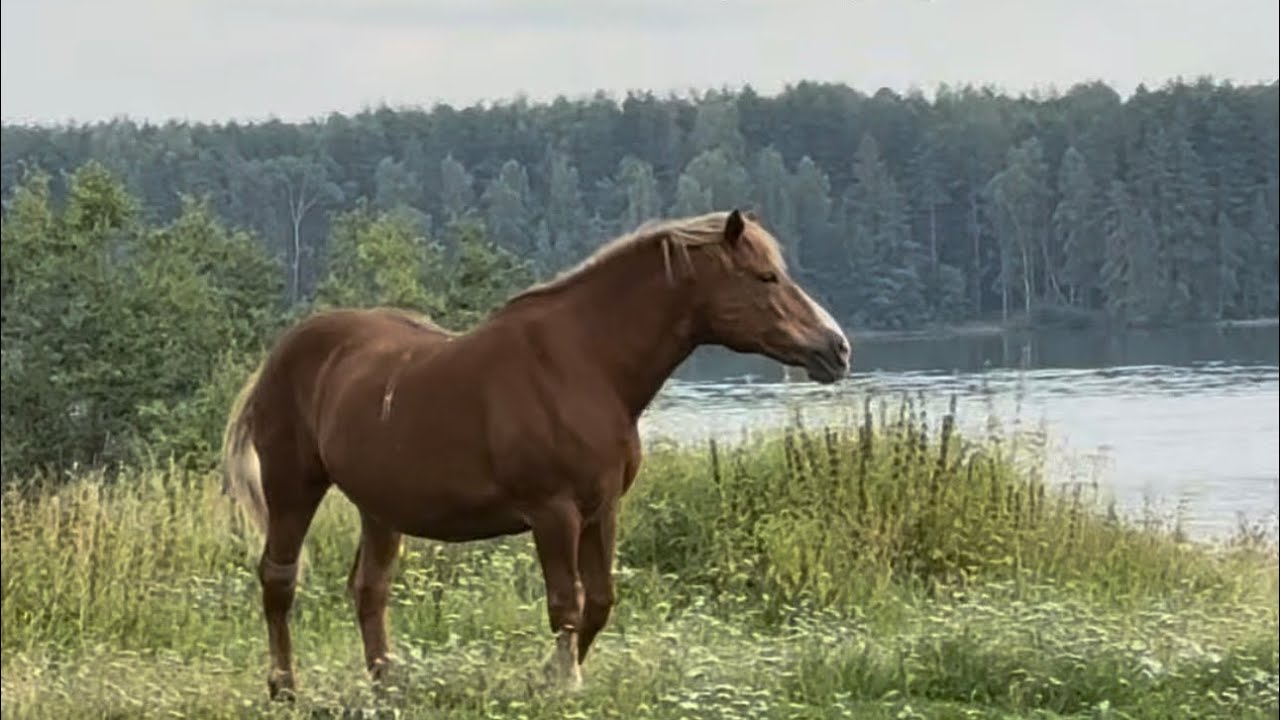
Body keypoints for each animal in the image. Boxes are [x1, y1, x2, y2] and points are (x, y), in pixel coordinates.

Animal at [220, 208, 851, 700]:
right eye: (766, 276)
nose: (837, 349)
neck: (583, 363)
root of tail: (281, 354)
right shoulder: (554, 513)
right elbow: (566, 604)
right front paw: (560, 683)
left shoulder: (601, 509)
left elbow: (600, 601)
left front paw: (551, 677)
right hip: (293, 488)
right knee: (278, 580)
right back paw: (285, 688)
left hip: (380, 509)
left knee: (368, 589)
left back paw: (388, 686)